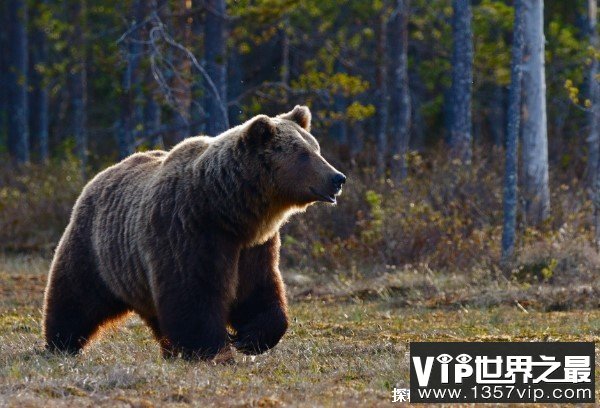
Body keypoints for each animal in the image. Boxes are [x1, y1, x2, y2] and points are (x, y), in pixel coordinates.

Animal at [43, 106, 346, 360]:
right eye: (304, 154)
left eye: (316, 148)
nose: (338, 178)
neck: (228, 210)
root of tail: (99, 176)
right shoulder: (188, 231)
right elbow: (193, 293)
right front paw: (212, 348)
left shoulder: (254, 247)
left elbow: (258, 290)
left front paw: (249, 338)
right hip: (96, 249)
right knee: (75, 296)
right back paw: (60, 344)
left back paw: (169, 350)